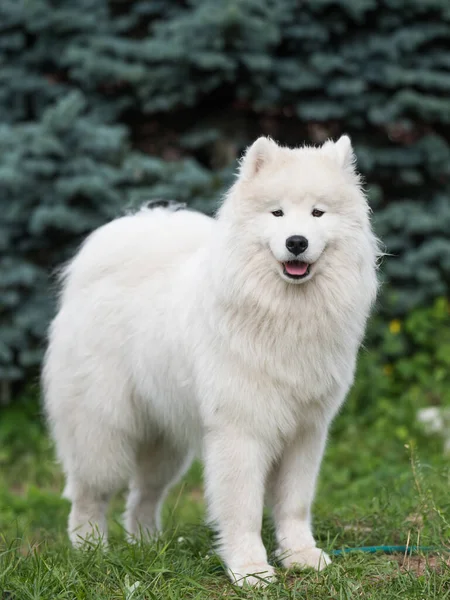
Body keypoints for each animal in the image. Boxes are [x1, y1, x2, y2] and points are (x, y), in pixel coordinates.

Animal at [43, 136, 380, 584]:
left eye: (317, 213)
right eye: (276, 213)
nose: (297, 242)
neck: (283, 314)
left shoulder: (305, 432)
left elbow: (294, 503)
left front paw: (301, 556)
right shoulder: (241, 430)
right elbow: (244, 509)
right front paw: (251, 570)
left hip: (164, 440)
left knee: (142, 495)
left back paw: (147, 545)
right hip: (103, 432)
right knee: (89, 494)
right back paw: (91, 550)